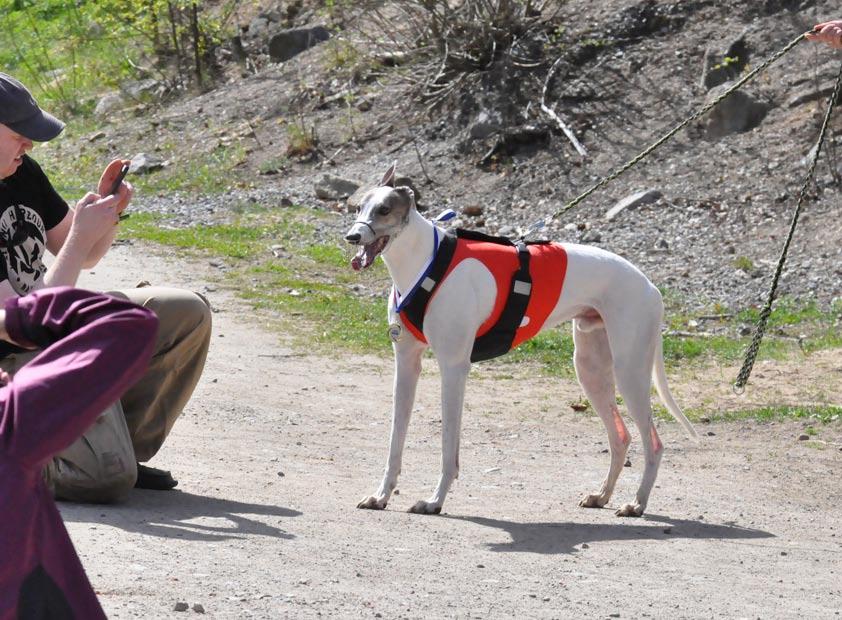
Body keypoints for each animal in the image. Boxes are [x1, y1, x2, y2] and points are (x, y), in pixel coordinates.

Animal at [342, 162, 696, 516]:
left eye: (384, 209)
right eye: (358, 208)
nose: (352, 237)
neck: (426, 261)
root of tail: (651, 287)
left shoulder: (453, 367)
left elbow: (447, 444)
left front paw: (434, 500)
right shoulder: (406, 365)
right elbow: (395, 440)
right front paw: (381, 495)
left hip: (630, 372)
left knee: (654, 443)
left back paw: (637, 503)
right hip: (591, 369)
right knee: (620, 438)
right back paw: (602, 495)